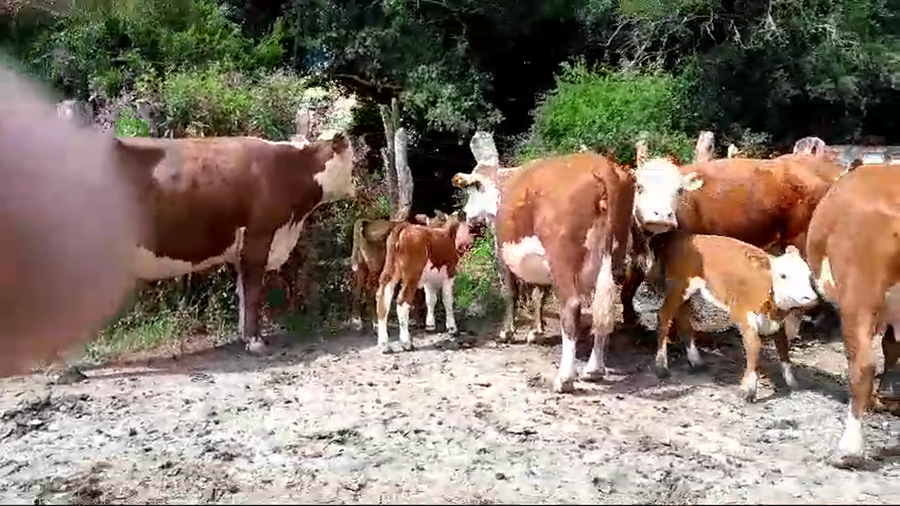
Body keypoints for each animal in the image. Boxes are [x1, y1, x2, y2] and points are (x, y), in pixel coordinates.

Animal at [118, 131, 357, 353]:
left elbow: (242, 291)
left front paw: (244, 336)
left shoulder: (242, 251)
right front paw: (255, 341)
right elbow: (253, 293)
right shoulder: (258, 237)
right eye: (352, 160)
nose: (357, 187)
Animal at [375, 211, 472, 353]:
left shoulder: (428, 280)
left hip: (390, 270)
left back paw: (384, 345)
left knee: (383, 299)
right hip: (412, 274)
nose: (470, 242)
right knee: (402, 301)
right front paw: (452, 327)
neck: (448, 233)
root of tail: (404, 227)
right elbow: (447, 300)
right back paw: (406, 343)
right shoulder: (450, 273)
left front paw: (430, 325)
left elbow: (430, 300)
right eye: (469, 227)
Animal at [651, 234, 818, 400]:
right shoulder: (742, 313)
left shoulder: (778, 322)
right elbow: (754, 346)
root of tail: (684, 237)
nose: (810, 297)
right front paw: (748, 388)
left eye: (809, 275)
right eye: (783, 275)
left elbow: (783, 347)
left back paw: (695, 361)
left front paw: (792, 382)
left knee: (683, 320)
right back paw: (661, 366)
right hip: (678, 285)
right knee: (664, 316)